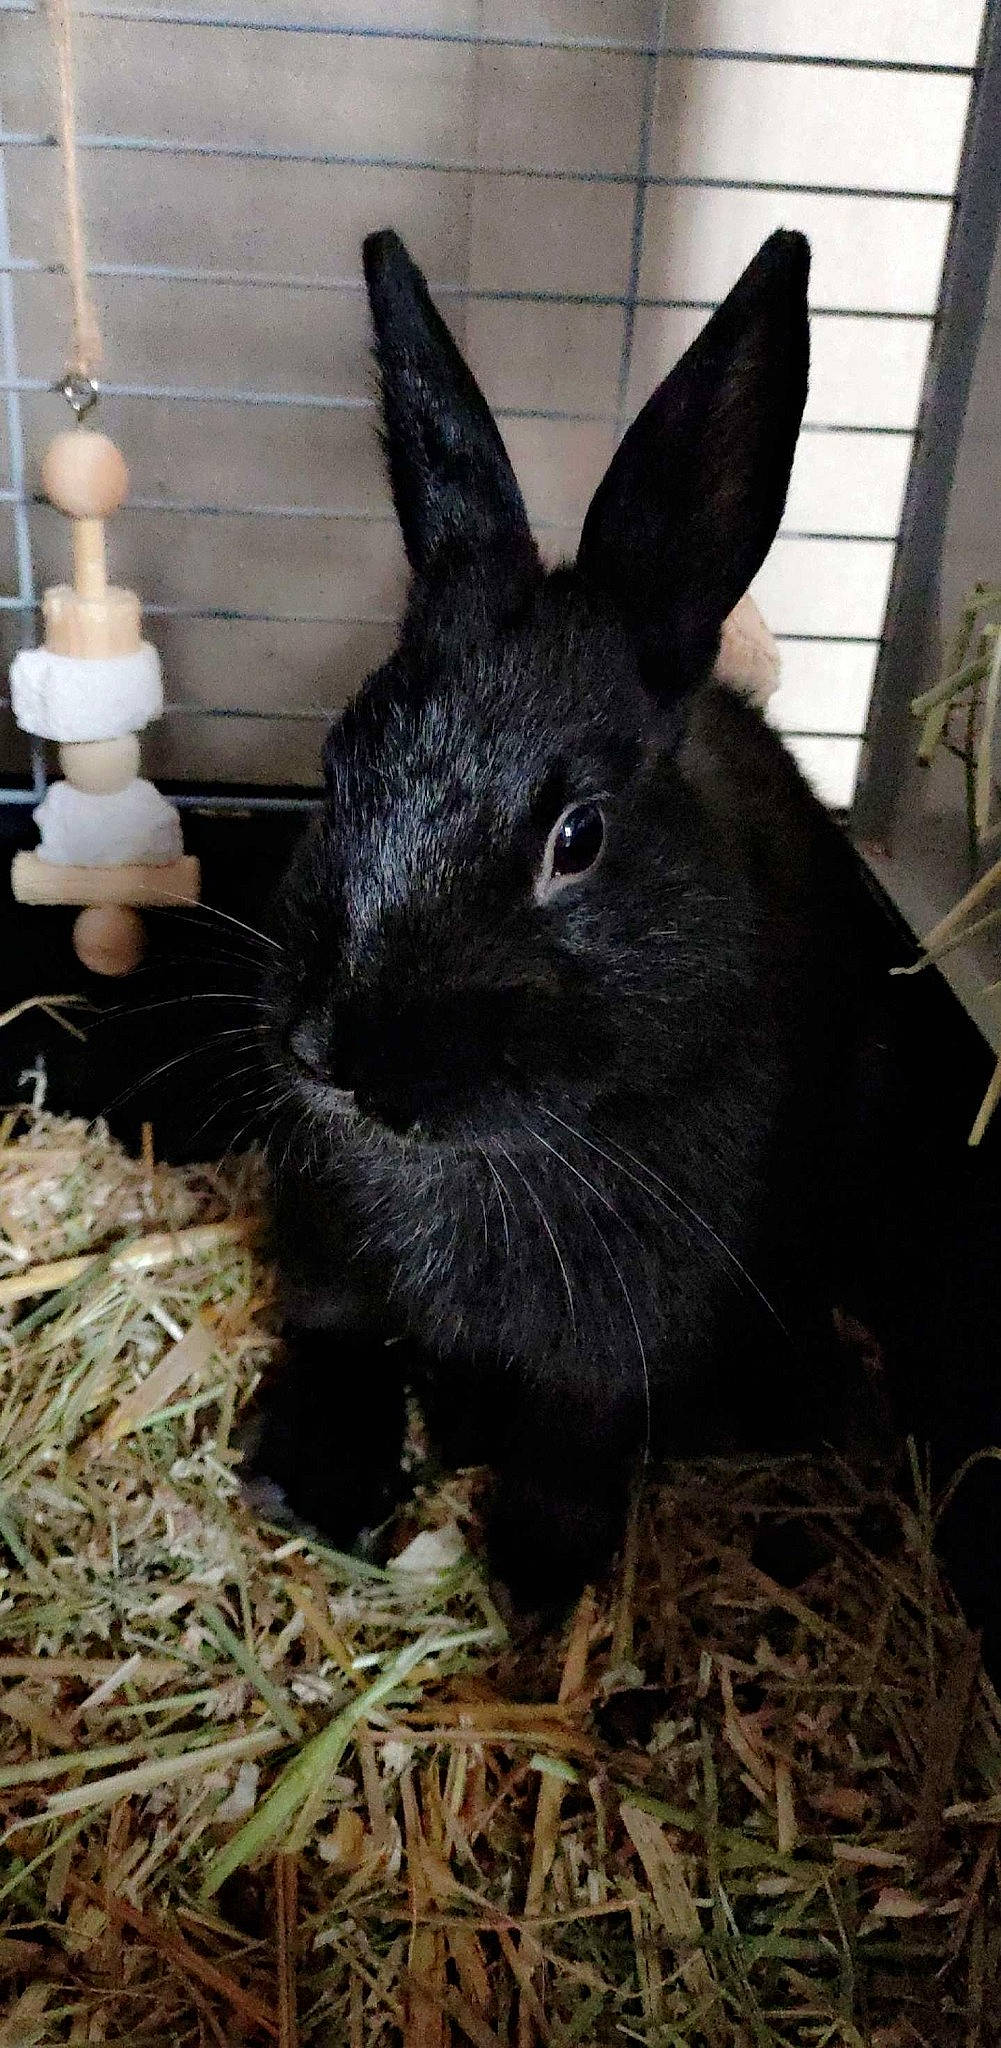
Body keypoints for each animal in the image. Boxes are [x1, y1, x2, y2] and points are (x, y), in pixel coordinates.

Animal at [244, 226, 996, 1626]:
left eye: (577, 836)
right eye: (333, 766)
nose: (335, 1056)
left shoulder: (626, 1332)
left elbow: (578, 1429)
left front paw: (542, 1574)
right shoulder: (331, 1254)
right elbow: (337, 1333)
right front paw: (313, 1479)